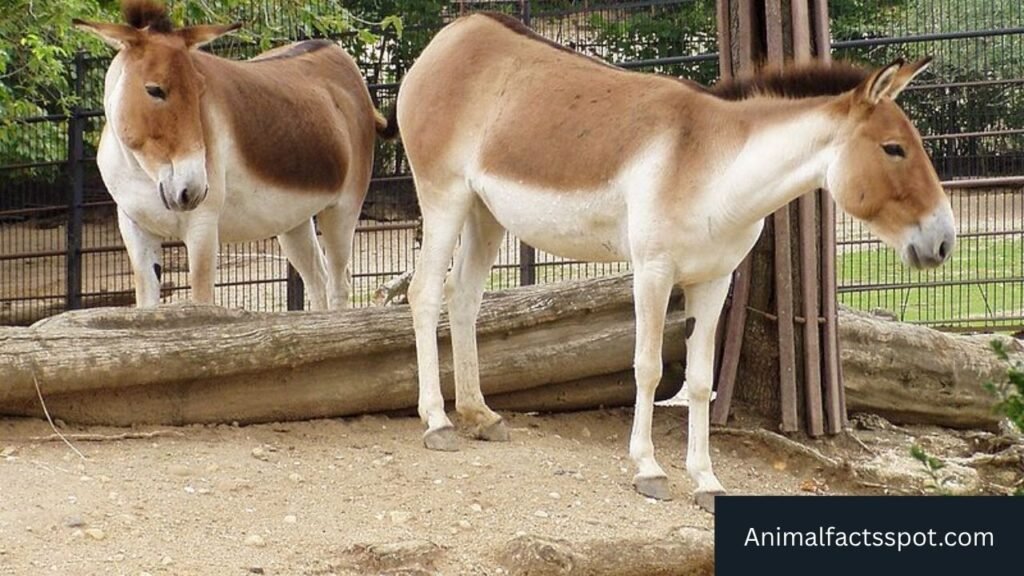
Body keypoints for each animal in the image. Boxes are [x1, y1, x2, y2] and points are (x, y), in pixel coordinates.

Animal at [74, 0, 390, 309]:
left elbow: (202, 303)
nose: (193, 190)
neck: (141, 170)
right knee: (318, 280)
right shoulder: (134, 228)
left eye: (200, 89)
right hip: (293, 221)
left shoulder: (203, 226)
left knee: (339, 286)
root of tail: (337, 51)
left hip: (343, 208)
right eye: (154, 90)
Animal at [395, 12, 955, 513]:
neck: (716, 167)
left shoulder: (715, 280)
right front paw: (649, 469)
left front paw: (707, 481)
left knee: (463, 297)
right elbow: (647, 367)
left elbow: (702, 382)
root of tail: (455, 31)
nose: (945, 243)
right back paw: (438, 422)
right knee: (424, 293)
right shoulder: (653, 271)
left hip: (485, 211)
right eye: (894, 149)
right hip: (443, 195)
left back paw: (478, 415)